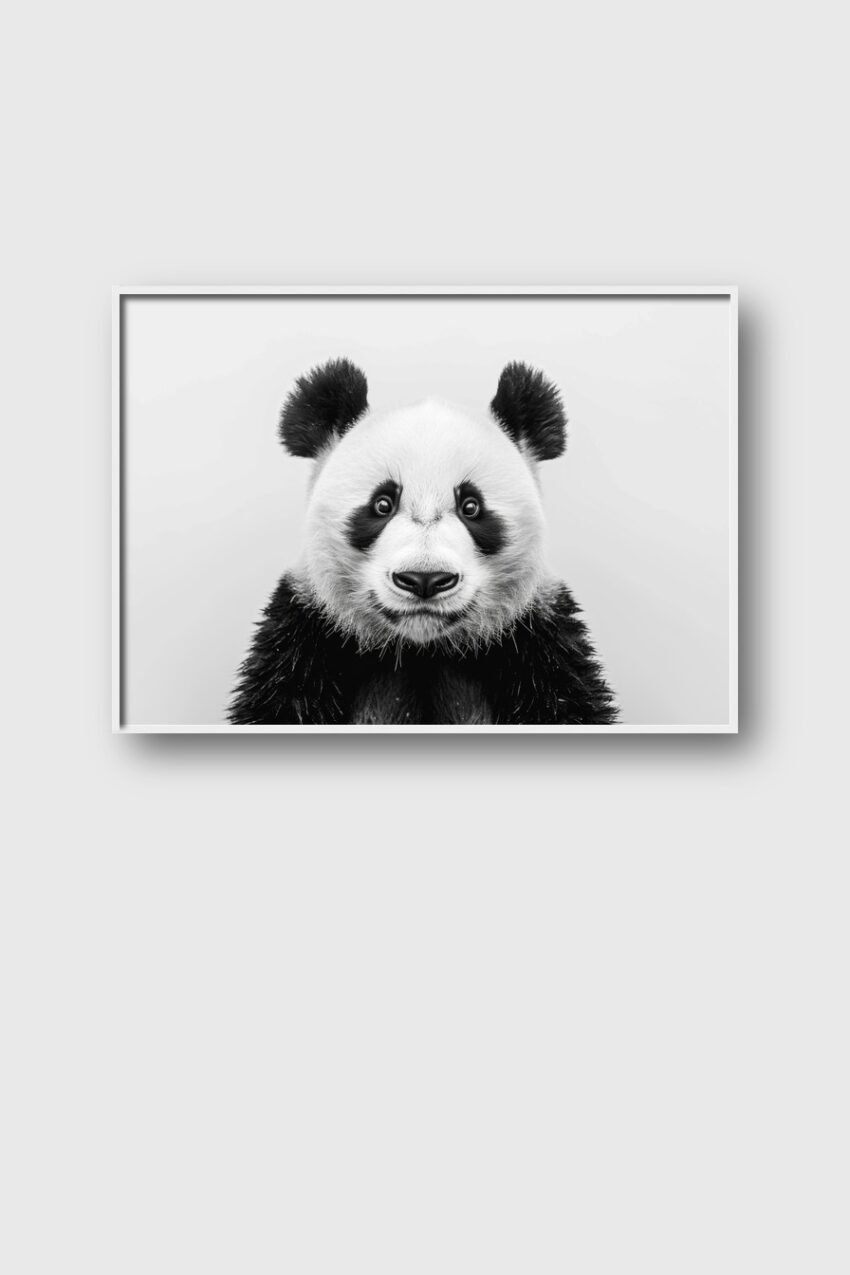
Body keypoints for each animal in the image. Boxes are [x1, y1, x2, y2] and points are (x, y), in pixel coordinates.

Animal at [228, 358, 617, 726]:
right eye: (382, 504)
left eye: (471, 507)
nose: (424, 580)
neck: (422, 651)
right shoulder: (304, 638)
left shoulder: (538, 645)